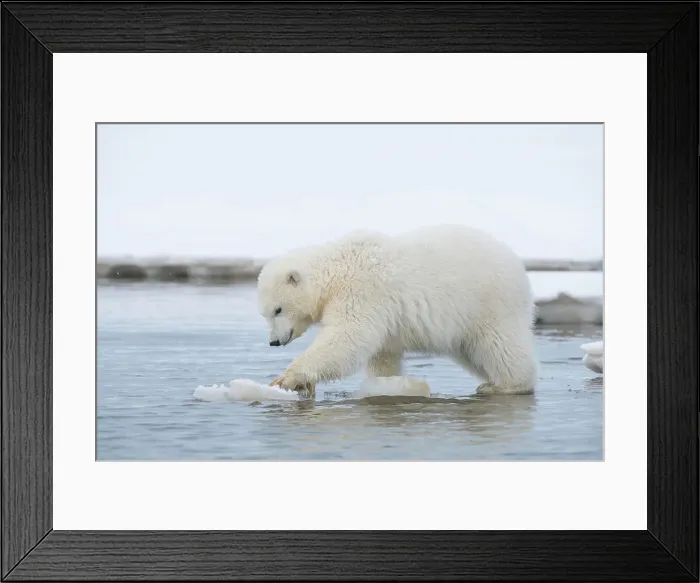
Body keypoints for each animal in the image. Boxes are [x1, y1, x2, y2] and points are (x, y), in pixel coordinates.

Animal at [257, 224, 537, 395]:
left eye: (278, 309)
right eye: (265, 313)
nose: (273, 342)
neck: (336, 270)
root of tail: (518, 266)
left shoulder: (361, 293)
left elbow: (347, 338)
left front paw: (286, 379)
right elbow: (383, 355)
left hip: (489, 304)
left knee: (500, 346)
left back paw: (505, 385)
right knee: (471, 351)